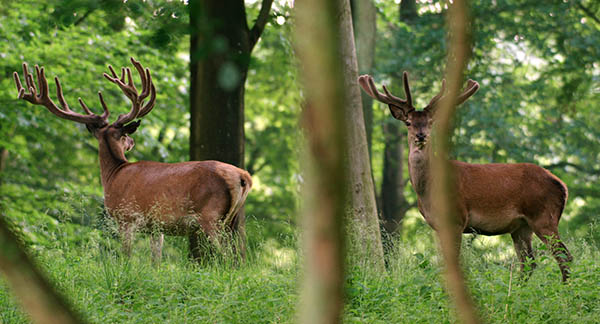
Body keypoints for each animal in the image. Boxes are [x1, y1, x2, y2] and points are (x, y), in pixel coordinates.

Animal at [13, 58, 253, 264]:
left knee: (227, 259)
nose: (132, 141)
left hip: (211, 216)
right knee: (239, 258)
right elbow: (155, 261)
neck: (114, 175)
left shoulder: (126, 217)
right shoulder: (156, 227)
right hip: (233, 220)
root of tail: (243, 176)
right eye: (125, 136)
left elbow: (126, 257)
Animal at [358, 73, 576, 280]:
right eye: (409, 123)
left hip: (543, 216)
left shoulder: (456, 218)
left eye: (430, 123)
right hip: (521, 226)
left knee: (564, 256)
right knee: (529, 262)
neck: (428, 190)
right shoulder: (437, 226)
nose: (421, 135)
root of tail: (563, 187)